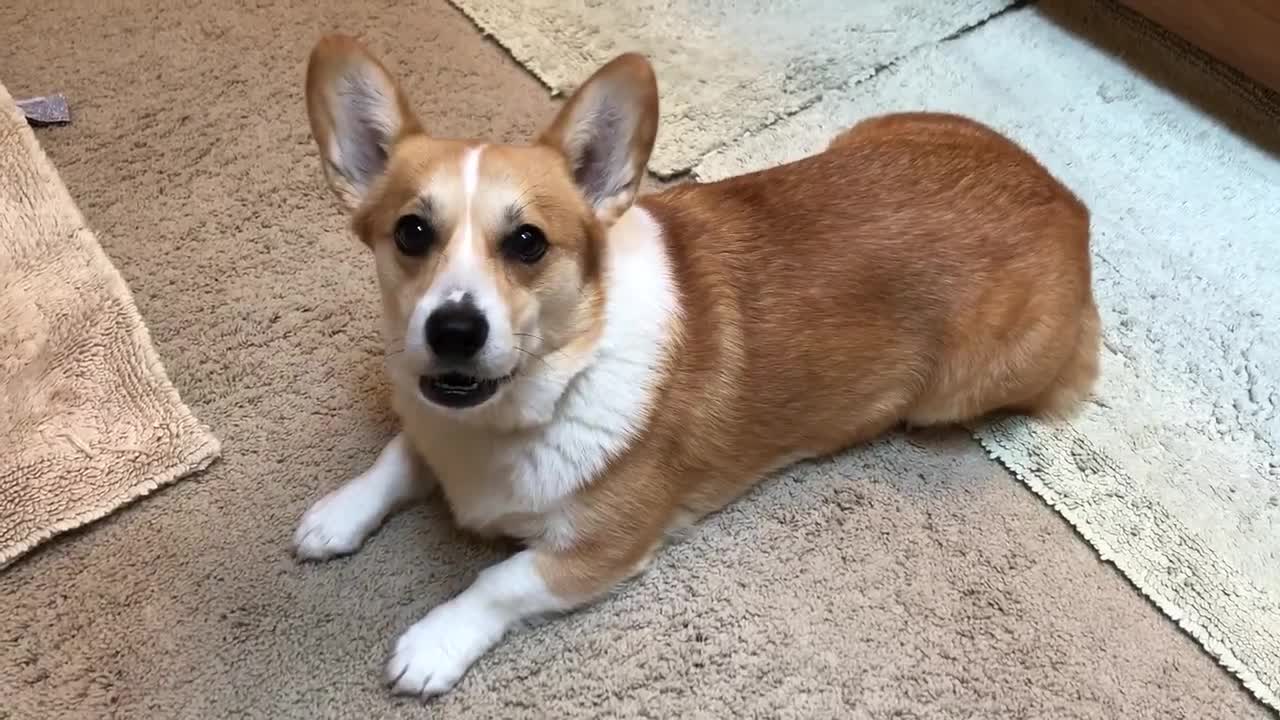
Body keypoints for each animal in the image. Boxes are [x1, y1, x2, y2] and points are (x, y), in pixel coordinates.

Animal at [293, 33, 1100, 696]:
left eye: (527, 242)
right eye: (411, 232)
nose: (454, 330)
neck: (526, 401)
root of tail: (1072, 206)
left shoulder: (600, 548)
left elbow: (501, 581)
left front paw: (433, 643)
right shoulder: (432, 421)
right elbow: (399, 456)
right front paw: (337, 514)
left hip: (958, 389)